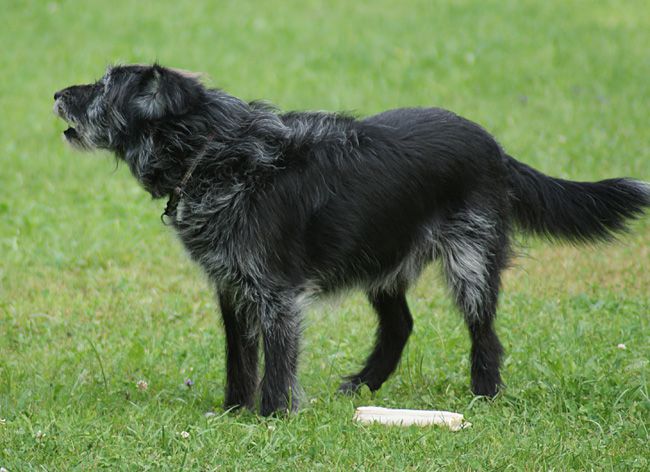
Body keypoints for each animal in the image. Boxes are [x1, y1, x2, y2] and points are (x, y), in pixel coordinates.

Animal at [53, 64, 644, 414]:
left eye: (104, 87)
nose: (57, 91)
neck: (214, 151)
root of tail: (493, 145)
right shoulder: (233, 291)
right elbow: (239, 361)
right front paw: (233, 412)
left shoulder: (276, 296)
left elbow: (277, 363)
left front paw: (270, 418)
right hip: (378, 259)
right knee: (400, 326)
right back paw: (364, 385)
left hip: (471, 262)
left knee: (486, 335)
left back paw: (485, 393)